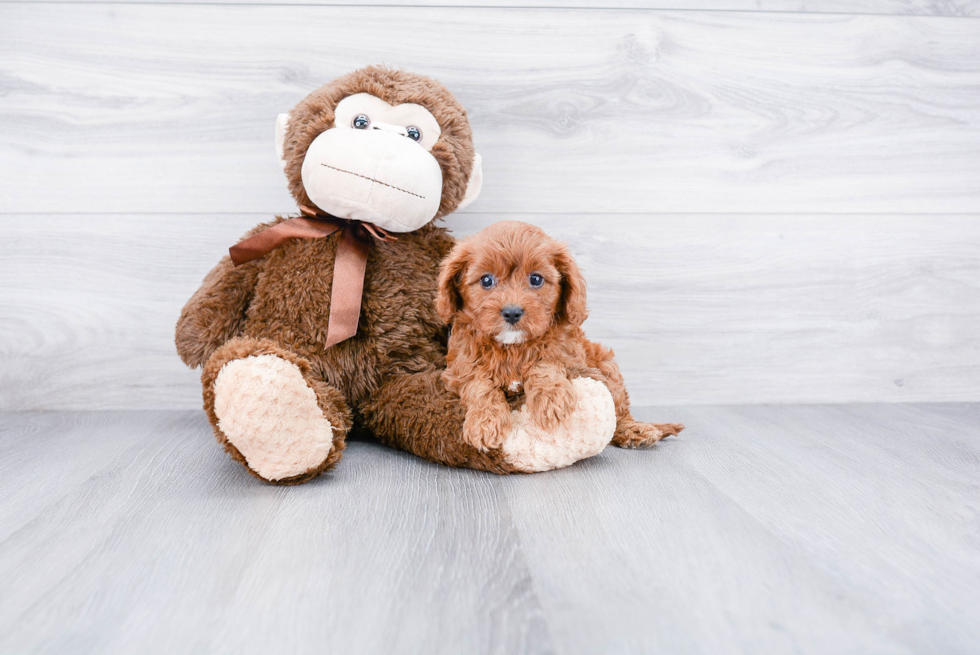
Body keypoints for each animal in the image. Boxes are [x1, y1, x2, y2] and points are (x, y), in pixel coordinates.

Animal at [436, 223, 680, 454]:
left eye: (536, 279)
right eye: (486, 280)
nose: (512, 312)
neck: (513, 346)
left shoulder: (575, 362)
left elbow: (546, 362)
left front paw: (551, 398)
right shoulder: (459, 367)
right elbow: (478, 384)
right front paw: (485, 422)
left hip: (606, 364)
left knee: (619, 411)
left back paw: (634, 431)